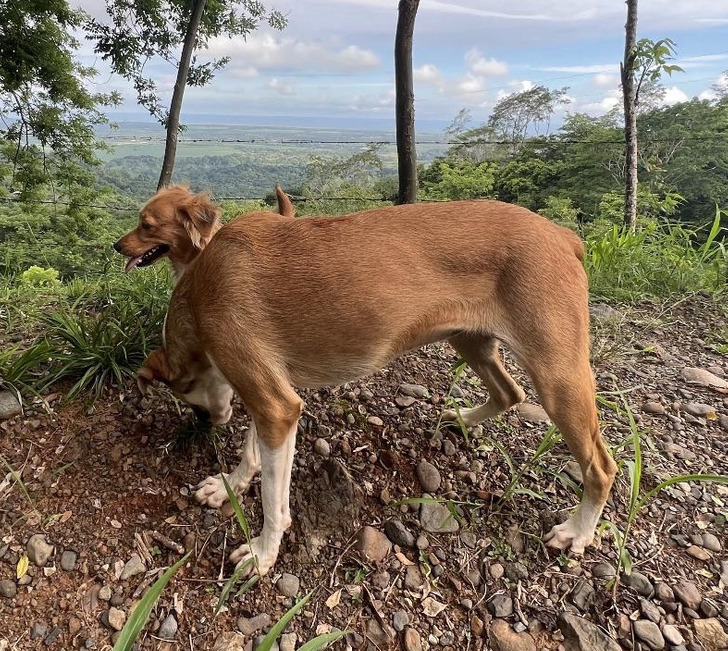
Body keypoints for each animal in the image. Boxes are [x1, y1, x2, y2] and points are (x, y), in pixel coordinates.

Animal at [138, 199, 616, 576]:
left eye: (188, 399)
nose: (205, 424)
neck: (199, 292)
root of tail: (564, 236)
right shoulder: (267, 396)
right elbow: (251, 451)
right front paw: (230, 485)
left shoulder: (274, 404)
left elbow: (274, 499)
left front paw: (263, 551)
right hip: (469, 340)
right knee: (510, 394)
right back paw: (462, 419)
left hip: (557, 377)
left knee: (601, 466)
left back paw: (577, 532)